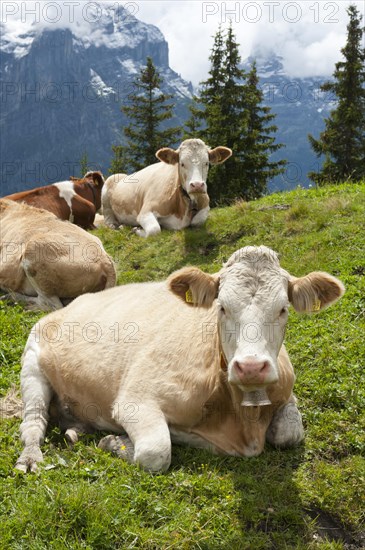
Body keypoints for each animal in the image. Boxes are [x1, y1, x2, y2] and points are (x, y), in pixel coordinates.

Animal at [10, 247, 342, 474]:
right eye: (221, 307)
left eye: (283, 309)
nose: (250, 367)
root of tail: (74, 302)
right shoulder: (135, 399)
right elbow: (156, 452)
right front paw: (115, 443)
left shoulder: (286, 390)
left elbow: (290, 434)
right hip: (32, 363)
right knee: (33, 422)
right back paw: (31, 458)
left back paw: (75, 431)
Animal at [101, 138, 232, 237]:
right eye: (182, 163)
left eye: (206, 163)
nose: (197, 185)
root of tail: (123, 175)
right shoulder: (145, 211)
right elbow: (154, 230)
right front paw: (137, 230)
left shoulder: (205, 204)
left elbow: (196, 222)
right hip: (106, 191)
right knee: (109, 221)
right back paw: (119, 226)